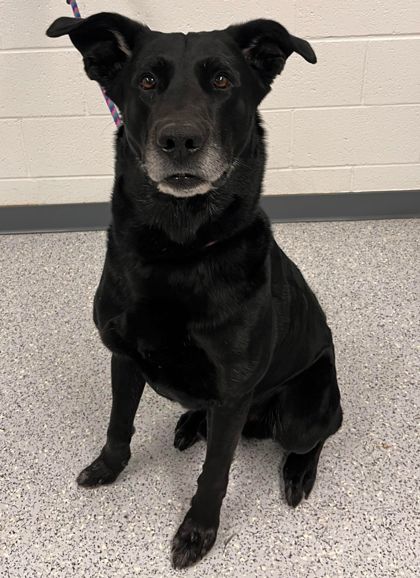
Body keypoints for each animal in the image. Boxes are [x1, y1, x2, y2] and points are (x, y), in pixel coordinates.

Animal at [47, 12, 342, 568]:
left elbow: (215, 474)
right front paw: (108, 468)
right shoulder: (124, 358)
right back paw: (189, 424)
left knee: (319, 433)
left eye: (223, 80)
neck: (177, 253)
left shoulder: (231, 394)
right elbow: (118, 424)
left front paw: (197, 532)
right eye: (147, 81)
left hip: (302, 411)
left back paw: (298, 473)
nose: (179, 140)